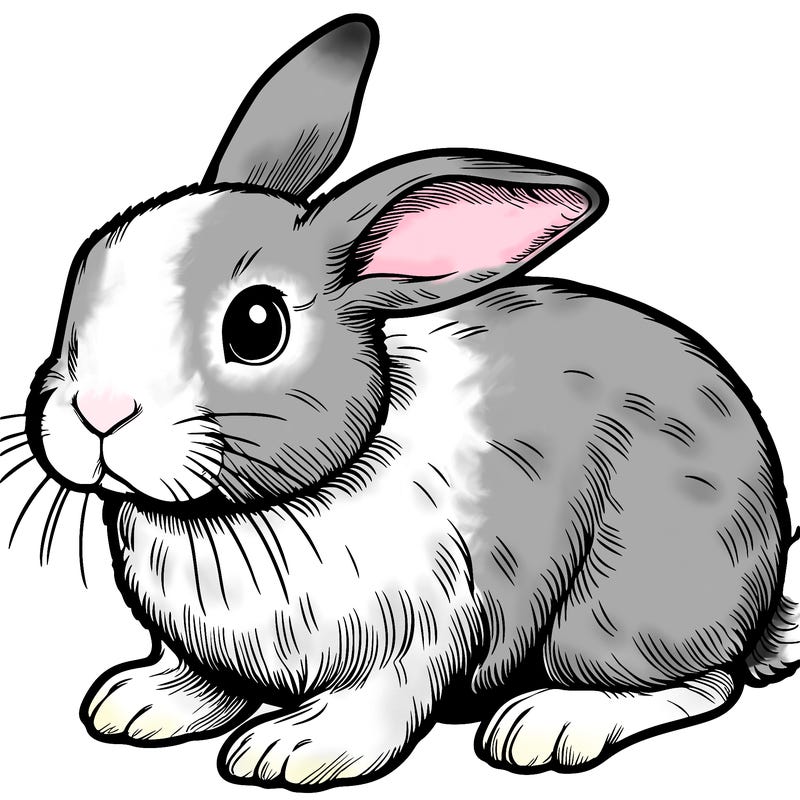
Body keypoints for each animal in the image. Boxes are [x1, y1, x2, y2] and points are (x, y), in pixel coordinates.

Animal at [13, 11, 800, 791]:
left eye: (257, 325)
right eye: (84, 270)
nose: (99, 412)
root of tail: (766, 590)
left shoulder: (417, 635)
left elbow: (376, 706)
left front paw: (292, 750)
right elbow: (203, 680)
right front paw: (139, 704)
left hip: (620, 607)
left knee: (700, 683)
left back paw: (546, 724)